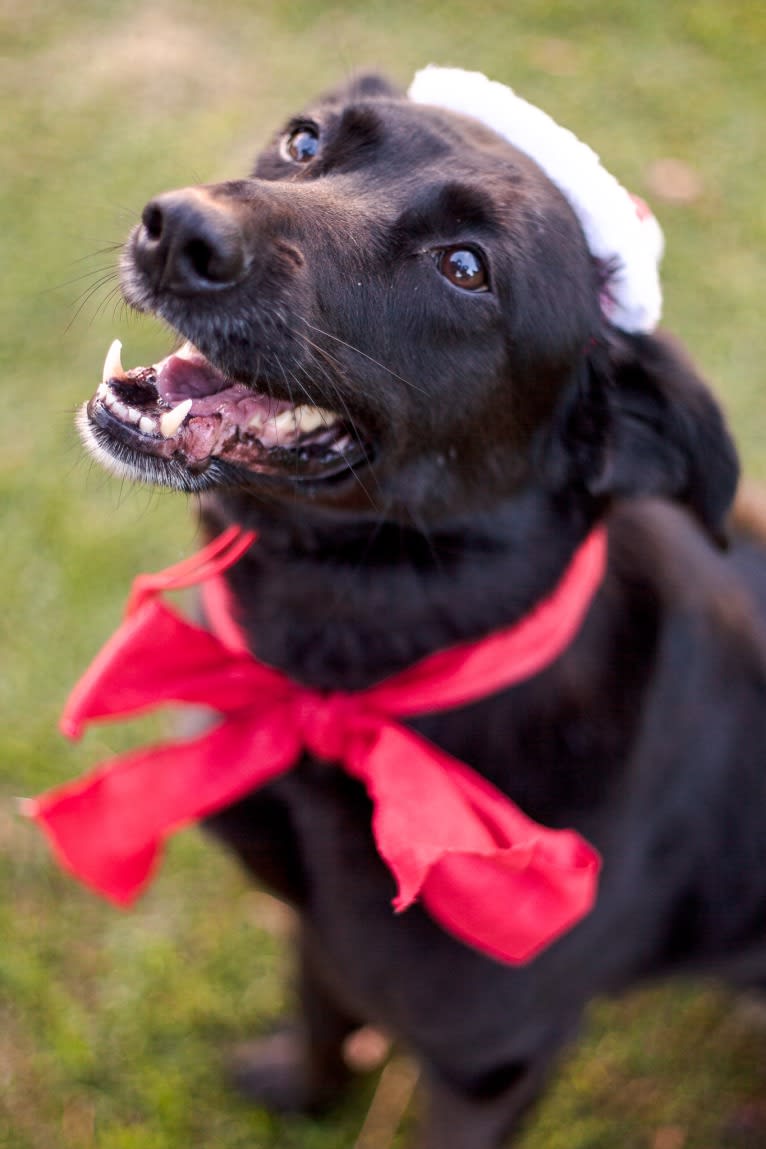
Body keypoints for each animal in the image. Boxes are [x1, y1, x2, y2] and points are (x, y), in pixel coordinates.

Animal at [74, 76, 766, 1144]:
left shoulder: (490, 1064)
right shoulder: (321, 932)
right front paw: (303, 1096)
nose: (178, 228)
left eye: (466, 267)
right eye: (304, 141)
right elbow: (320, 1012)